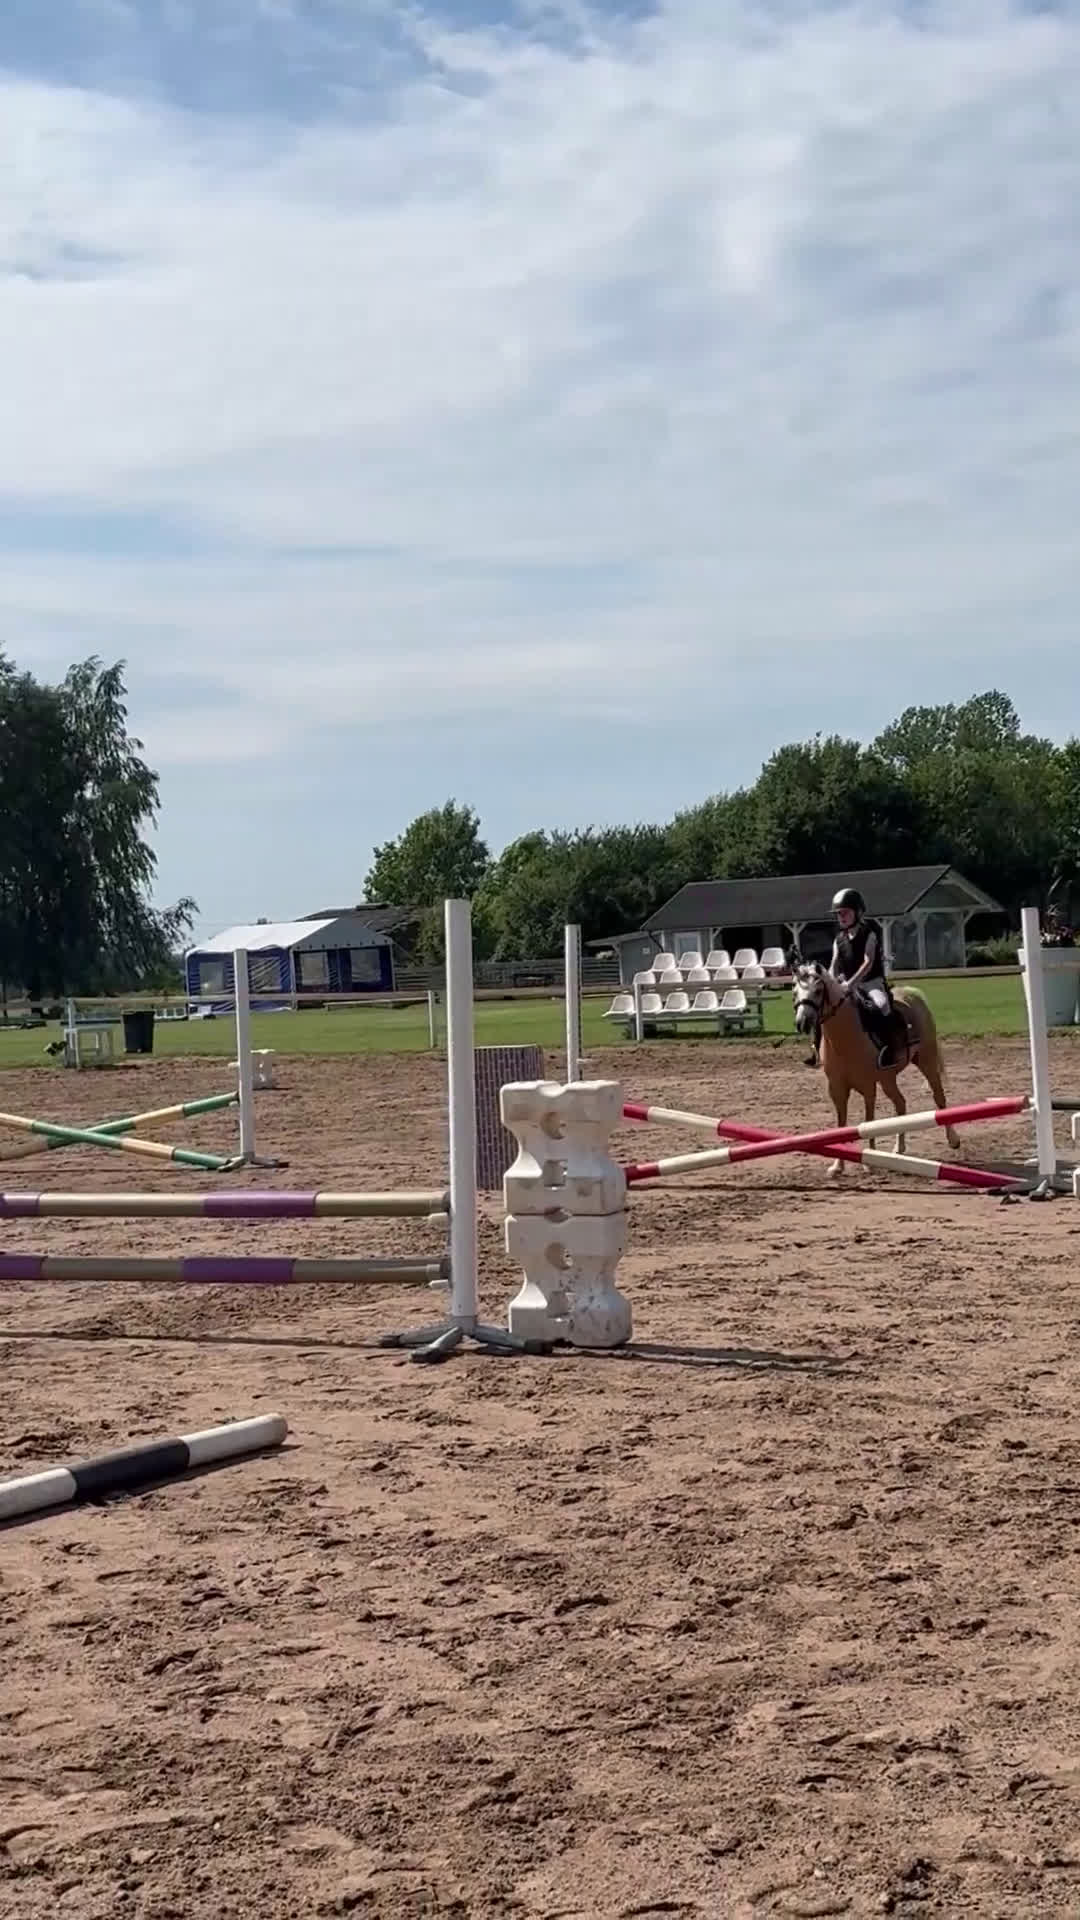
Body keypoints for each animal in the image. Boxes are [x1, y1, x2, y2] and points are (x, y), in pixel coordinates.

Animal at [788, 957, 959, 1179]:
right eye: (794, 991)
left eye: (817, 991)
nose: (802, 1022)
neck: (844, 1037)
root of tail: (912, 994)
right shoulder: (837, 1088)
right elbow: (841, 1123)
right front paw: (837, 1166)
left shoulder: (868, 1086)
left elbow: (868, 1122)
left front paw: (868, 1163)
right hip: (887, 1079)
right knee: (901, 1104)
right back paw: (899, 1150)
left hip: (926, 1062)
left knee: (939, 1099)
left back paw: (953, 1140)